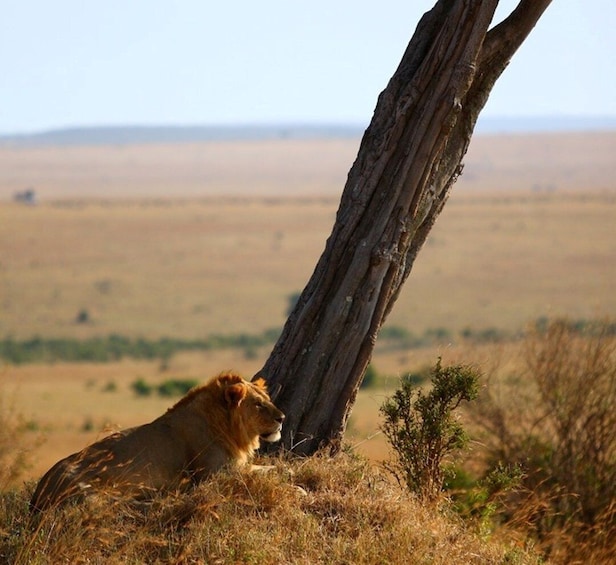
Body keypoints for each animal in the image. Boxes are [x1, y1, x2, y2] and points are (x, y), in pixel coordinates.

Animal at [30, 370, 286, 512]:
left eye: (268, 399)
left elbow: (265, 467)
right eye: (258, 405)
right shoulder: (217, 474)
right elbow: (263, 471)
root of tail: (37, 495)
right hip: (90, 487)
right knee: (111, 506)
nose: (282, 418)